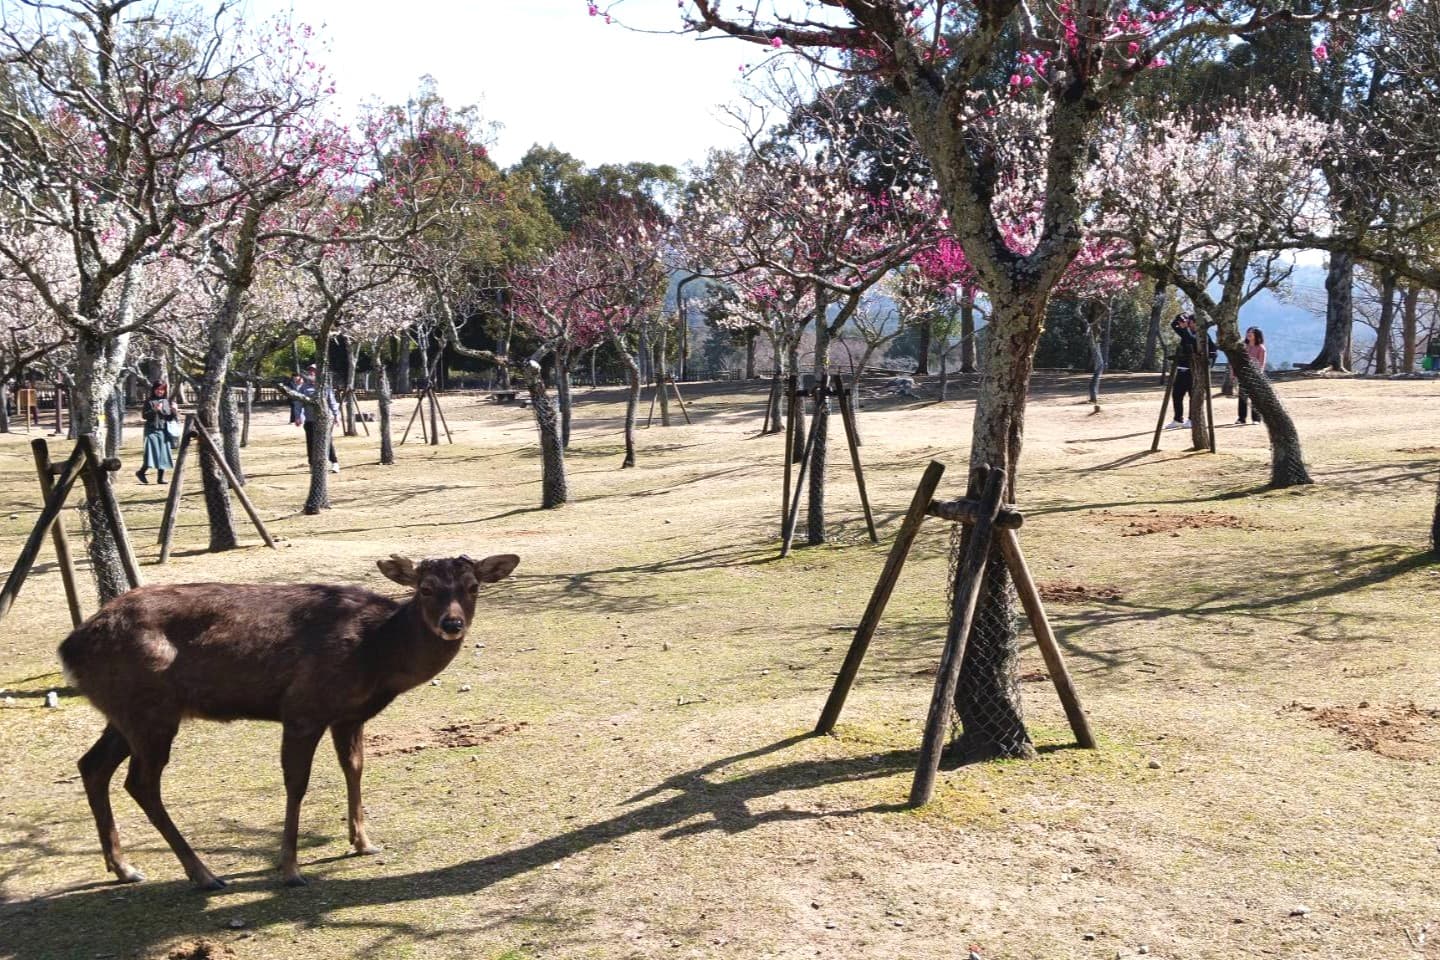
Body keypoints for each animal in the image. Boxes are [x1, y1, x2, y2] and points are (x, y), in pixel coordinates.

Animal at [57, 553, 520, 890]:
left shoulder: (349, 715)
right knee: (140, 782)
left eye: (473, 586)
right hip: (150, 710)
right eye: (425, 588)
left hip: (124, 713)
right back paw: (203, 874)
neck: (378, 655)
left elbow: (354, 768)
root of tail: (69, 648)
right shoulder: (303, 708)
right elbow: (297, 783)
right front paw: (291, 868)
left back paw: (124, 868)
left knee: (92, 765)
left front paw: (363, 842)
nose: (451, 623)